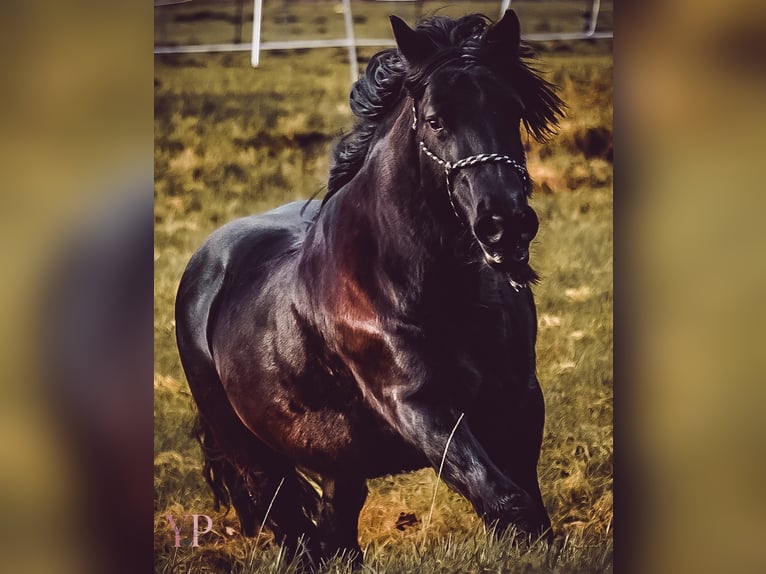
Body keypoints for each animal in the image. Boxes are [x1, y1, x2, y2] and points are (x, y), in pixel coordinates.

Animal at [175, 10, 563, 567]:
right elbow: (507, 502)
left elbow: (523, 506)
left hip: (337, 463)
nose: (504, 226)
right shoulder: (418, 406)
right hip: (256, 458)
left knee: (336, 535)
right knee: (295, 530)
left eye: (511, 110)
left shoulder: (520, 399)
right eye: (435, 121)